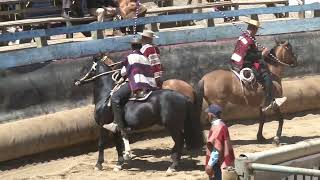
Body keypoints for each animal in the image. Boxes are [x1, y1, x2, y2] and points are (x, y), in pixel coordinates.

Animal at [76, 56, 204, 173]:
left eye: (90, 69)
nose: (78, 81)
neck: (105, 96)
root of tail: (184, 96)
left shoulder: (102, 125)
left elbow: (101, 144)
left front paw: (98, 164)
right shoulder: (115, 129)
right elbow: (118, 145)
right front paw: (119, 164)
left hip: (173, 126)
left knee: (180, 140)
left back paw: (172, 166)